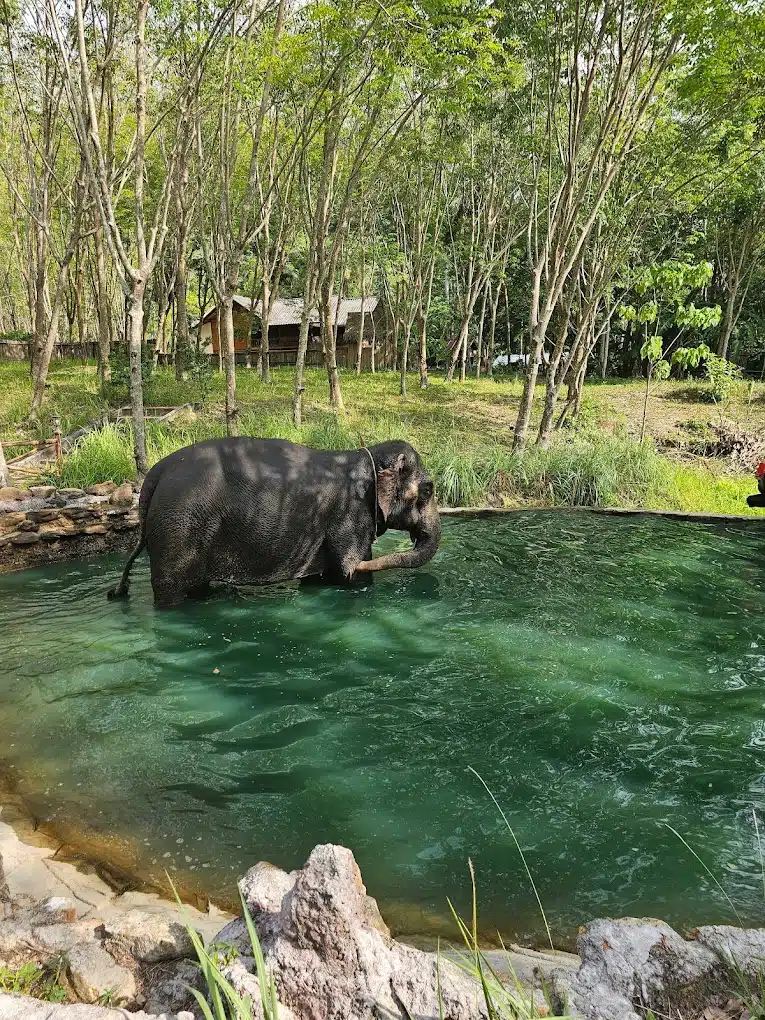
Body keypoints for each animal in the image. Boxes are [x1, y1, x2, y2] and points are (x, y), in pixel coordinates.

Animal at [109, 432, 442, 603]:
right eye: (428, 489)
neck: (367, 456)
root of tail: (153, 476)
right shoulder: (350, 516)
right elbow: (351, 575)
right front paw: (353, 572)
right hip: (178, 531)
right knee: (173, 591)